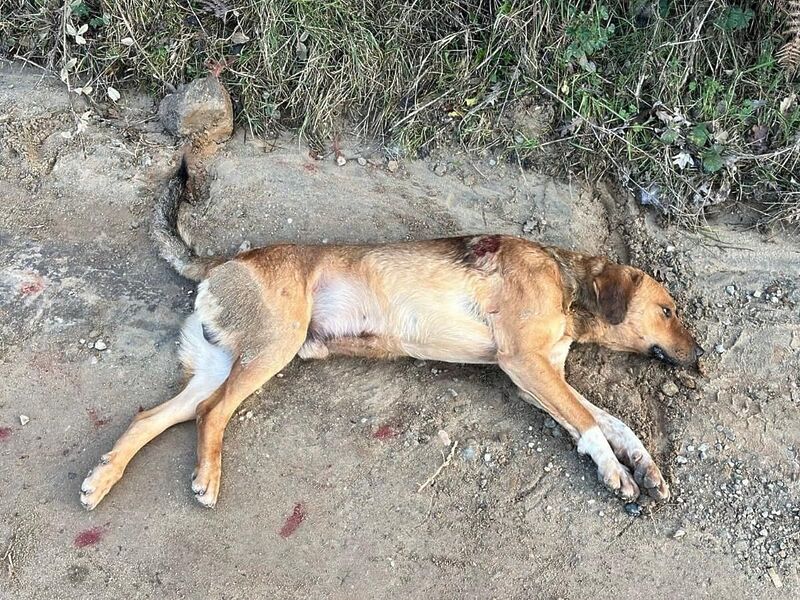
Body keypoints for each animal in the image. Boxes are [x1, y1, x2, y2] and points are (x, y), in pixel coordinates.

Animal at [78, 157, 704, 508]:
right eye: (668, 309)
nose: (701, 357)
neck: (566, 281)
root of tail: (222, 262)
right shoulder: (524, 364)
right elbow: (589, 424)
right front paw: (616, 472)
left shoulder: (540, 375)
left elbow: (611, 421)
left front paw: (642, 463)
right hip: (272, 348)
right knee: (213, 413)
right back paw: (206, 478)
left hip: (219, 363)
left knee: (152, 417)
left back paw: (101, 480)